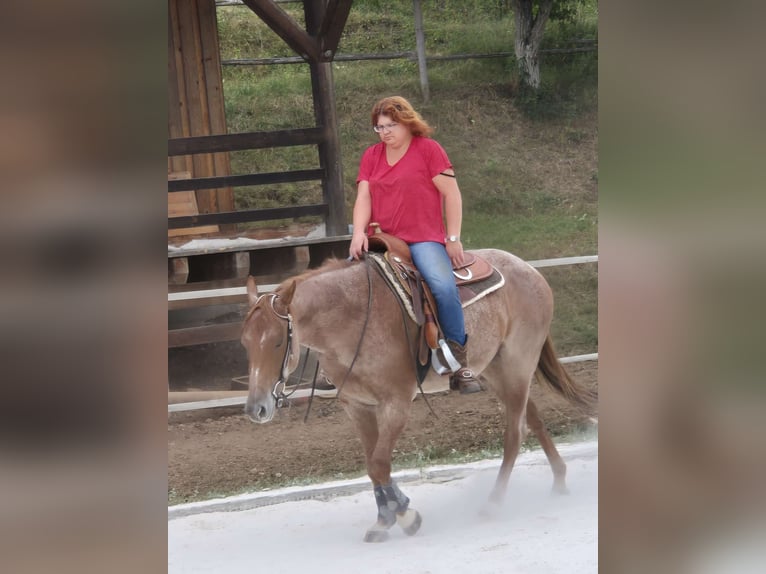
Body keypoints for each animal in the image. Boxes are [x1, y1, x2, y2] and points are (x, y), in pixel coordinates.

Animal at [241, 248, 596, 542]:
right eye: (245, 341)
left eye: (277, 341)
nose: (257, 407)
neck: (352, 316)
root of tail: (530, 270)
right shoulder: (357, 406)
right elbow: (373, 465)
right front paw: (385, 519)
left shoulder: (396, 404)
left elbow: (379, 464)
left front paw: (406, 516)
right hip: (496, 370)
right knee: (531, 418)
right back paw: (559, 481)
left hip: (518, 363)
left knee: (516, 431)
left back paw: (493, 504)